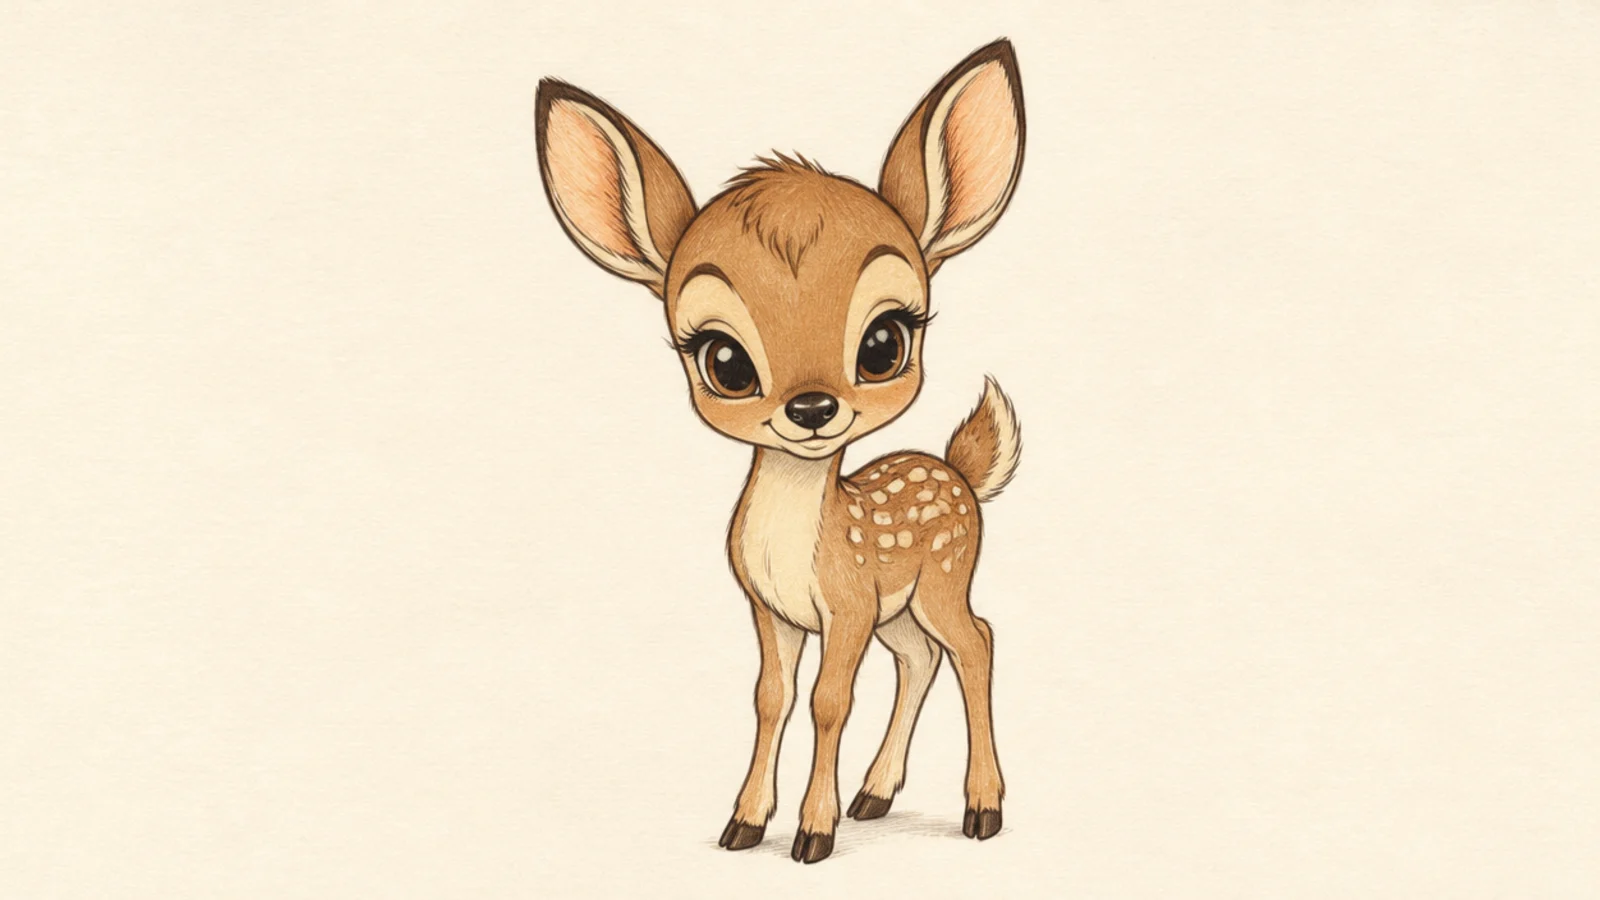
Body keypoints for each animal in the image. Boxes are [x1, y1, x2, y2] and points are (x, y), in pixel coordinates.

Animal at [534, 38, 1025, 864]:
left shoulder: (847, 604)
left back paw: (981, 808)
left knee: (977, 643)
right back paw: (875, 795)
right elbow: (771, 697)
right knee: (921, 657)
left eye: (883, 343)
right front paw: (744, 823)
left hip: (939, 579)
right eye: (724, 360)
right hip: (899, 607)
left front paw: (811, 833)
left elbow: (829, 700)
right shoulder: (775, 609)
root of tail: (958, 471)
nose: (812, 408)